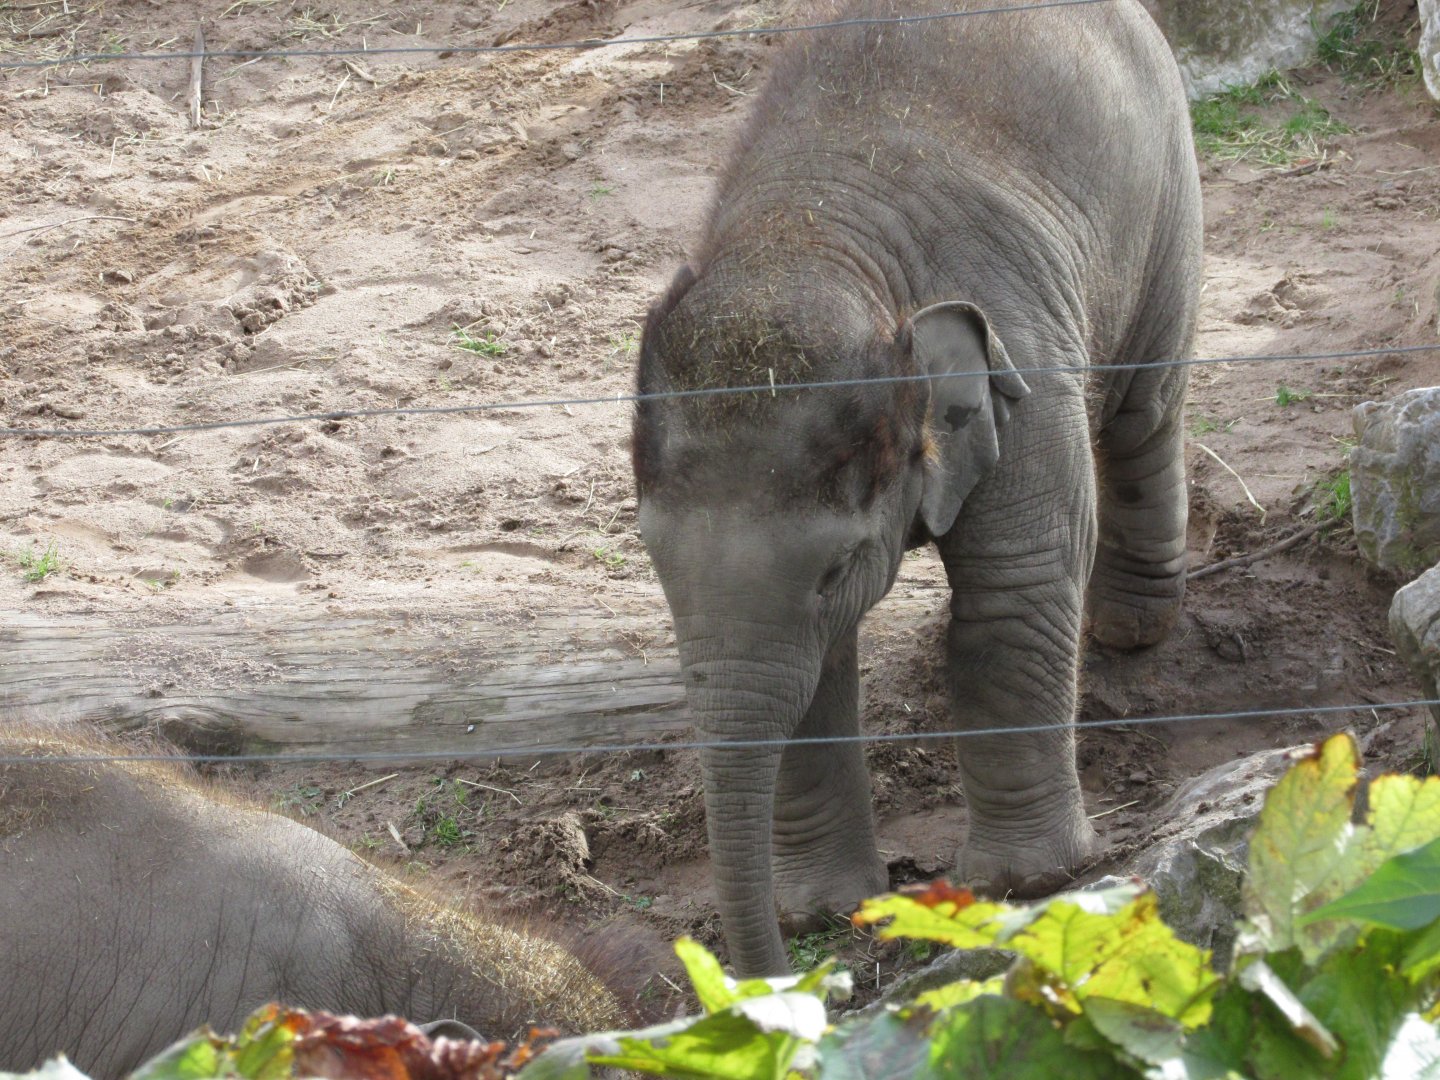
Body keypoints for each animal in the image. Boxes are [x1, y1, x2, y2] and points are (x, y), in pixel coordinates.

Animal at [632, 0, 1202, 975]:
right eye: (655, 565)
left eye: (835, 568)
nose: (787, 976)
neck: (812, 236)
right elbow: (812, 673)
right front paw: (826, 906)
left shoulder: (1024, 366)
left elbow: (1014, 591)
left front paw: (1023, 880)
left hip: (1169, 195)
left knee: (1144, 415)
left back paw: (1130, 629)